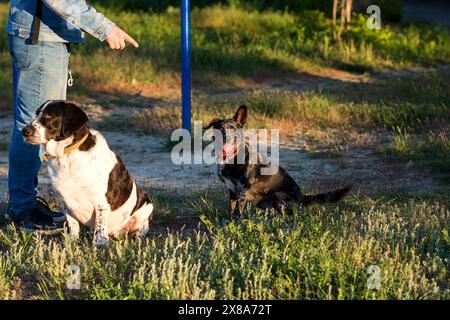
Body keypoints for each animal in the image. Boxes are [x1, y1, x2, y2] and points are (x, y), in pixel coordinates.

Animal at [22, 100, 153, 245]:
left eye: (49, 116)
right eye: (37, 113)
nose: (24, 131)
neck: (67, 154)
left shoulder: (101, 199)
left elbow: (100, 223)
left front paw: (101, 243)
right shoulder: (65, 200)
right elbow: (72, 224)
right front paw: (71, 241)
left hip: (147, 208)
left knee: (142, 229)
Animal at [205, 105, 352, 215]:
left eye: (233, 129)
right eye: (220, 129)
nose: (227, 138)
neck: (231, 156)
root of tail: (301, 197)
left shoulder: (242, 190)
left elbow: (237, 212)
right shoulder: (232, 191)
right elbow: (231, 209)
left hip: (278, 196)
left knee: (291, 214)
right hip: (263, 203)